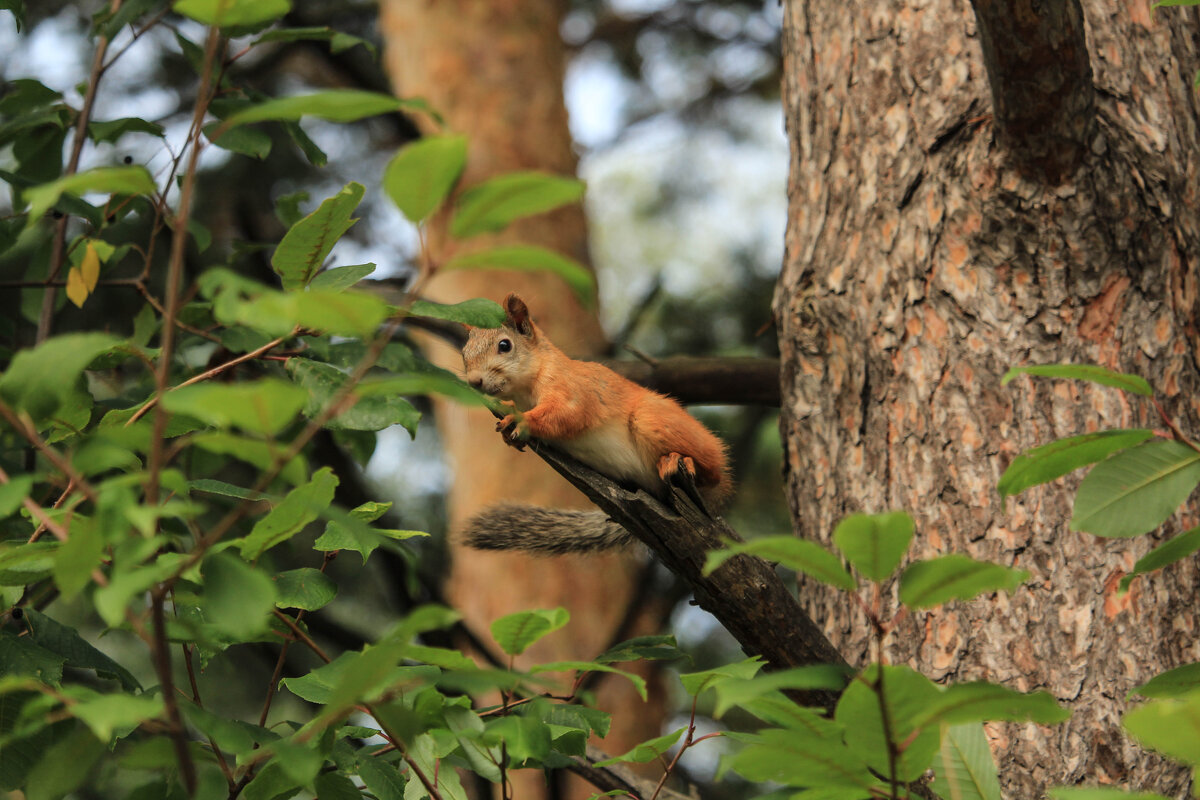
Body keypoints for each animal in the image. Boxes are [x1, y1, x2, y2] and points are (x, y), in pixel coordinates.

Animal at [458, 293, 729, 556]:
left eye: (505, 345)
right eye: (464, 352)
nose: (474, 381)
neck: (528, 385)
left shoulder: (573, 389)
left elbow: (567, 414)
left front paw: (520, 419)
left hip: (652, 419)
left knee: (712, 472)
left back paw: (679, 460)